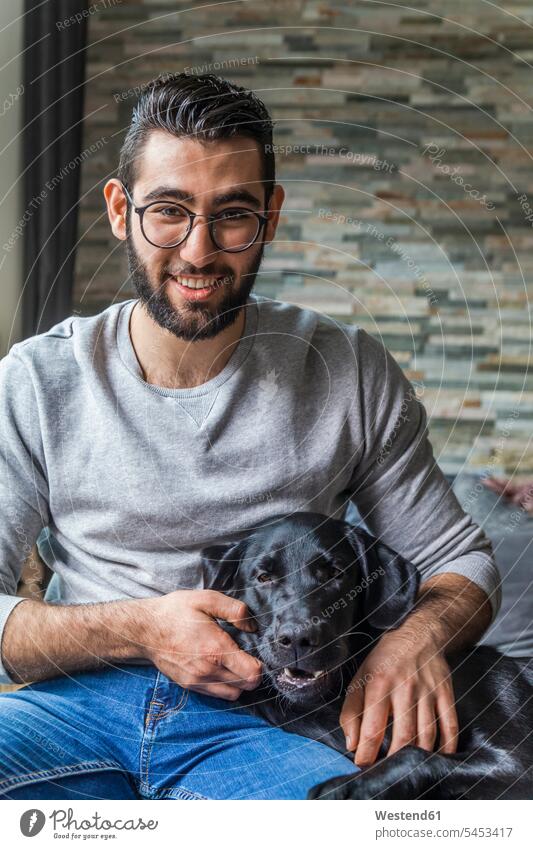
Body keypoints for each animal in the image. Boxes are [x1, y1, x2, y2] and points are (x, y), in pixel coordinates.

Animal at [201, 512, 532, 800]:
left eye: (335, 574)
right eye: (263, 576)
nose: (297, 639)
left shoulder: (517, 762)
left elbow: (412, 754)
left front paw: (344, 788)